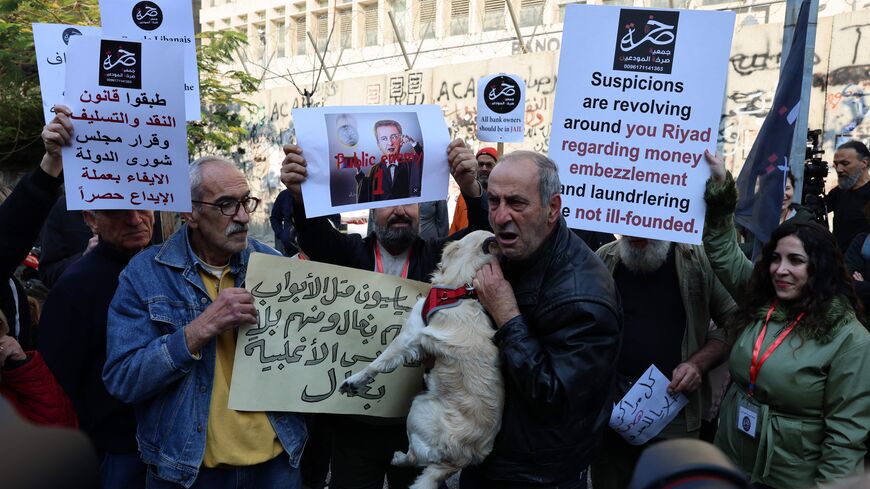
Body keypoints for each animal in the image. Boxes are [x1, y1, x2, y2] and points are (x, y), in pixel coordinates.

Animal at [338, 230, 504, 488]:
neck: (459, 289)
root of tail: (458, 461)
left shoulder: (410, 334)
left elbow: (379, 362)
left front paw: (354, 381)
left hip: (417, 409)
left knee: (414, 458)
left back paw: (397, 458)